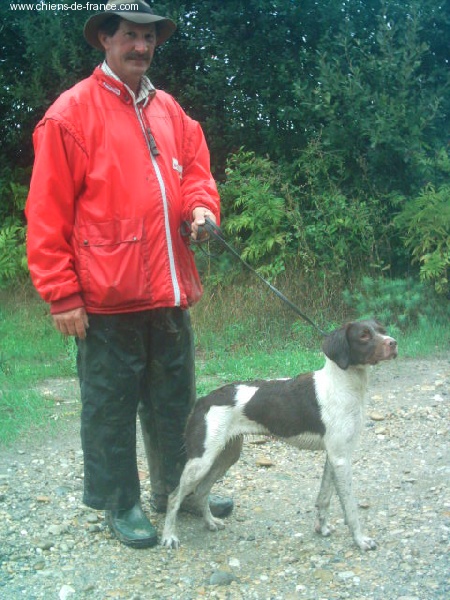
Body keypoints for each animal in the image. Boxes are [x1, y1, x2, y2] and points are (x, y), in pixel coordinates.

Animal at [162, 322, 398, 552]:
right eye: (364, 335)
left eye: (383, 330)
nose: (394, 343)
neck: (341, 384)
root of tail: (203, 400)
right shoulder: (341, 459)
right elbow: (350, 508)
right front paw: (361, 540)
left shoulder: (334, 456)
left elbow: (324, 498)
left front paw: (322, 528)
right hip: (201, 461)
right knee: (173, 497)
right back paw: (169, 537)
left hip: (226, 456)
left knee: (201, 491)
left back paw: (210, 522)